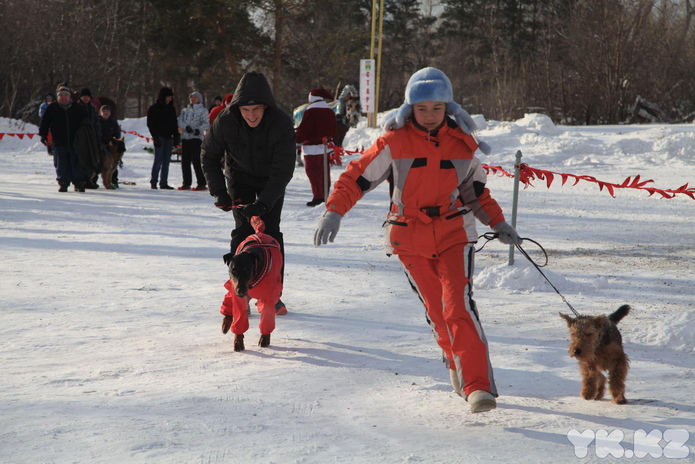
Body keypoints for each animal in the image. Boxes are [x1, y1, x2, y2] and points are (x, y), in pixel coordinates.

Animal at [219, 217, 282, 352]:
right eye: (233, 270)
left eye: (247, 270)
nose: (241, 290)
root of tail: (260, 233)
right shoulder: (236, 290)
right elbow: (239, 316)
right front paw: (238, 340)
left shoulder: (269, 295)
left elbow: (267, 316)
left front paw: (265, 338)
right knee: (229, 298)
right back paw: (226, 322)